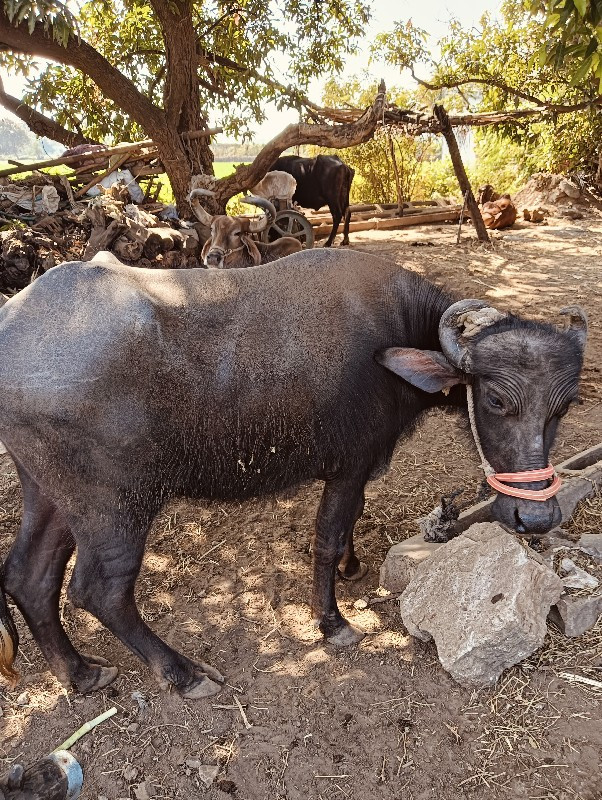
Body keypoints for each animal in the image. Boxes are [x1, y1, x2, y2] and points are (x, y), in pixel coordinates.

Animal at [0, 252, 584, 700]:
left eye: (567, 404)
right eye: (495, 399)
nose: (536, 517)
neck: (395, 335)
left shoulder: (359, 471)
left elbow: (350, 524)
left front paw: (352, 566)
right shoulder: (348, 467)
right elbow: (326, 537)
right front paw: (333, 622)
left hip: (49, 492)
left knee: (29, 577)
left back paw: (80, 674)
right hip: (116, 504)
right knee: (99, 590)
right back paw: (184, 674)